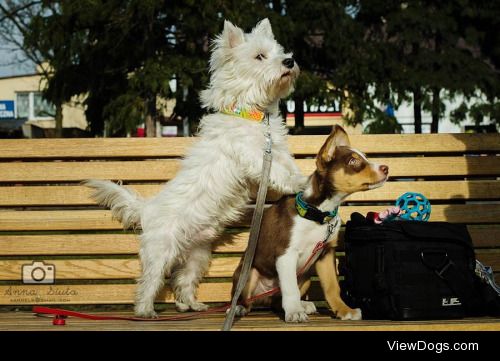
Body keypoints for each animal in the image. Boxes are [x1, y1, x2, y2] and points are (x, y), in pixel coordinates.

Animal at [85, 18, 304, 316]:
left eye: (279, 51)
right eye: (260, 56)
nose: (290, 61)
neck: (251, 114)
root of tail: (146, 210)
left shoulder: (277, 150)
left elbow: (288, 165)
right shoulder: (253, 155)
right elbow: (279, 172)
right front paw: (300, 183)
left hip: (197, 255)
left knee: (183, 281)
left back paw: (191, 305)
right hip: (161, 251)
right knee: (149, 281)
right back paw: (145, 311)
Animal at [232, 126, 388, 320]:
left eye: (364, 157)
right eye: (353, 161)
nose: (386, 168)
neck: (319, 212)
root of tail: (264, 298)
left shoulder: (326, 254)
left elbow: (332, 287)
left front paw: (344, 311)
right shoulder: (286, 254)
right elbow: (290, 288)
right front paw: (294, 313)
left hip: (305, 276)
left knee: (277, 301)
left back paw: (302, 305)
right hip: (250, 274)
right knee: (247, 299)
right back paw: (240, 308)